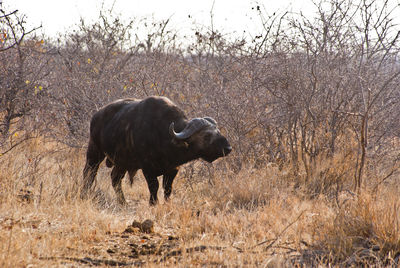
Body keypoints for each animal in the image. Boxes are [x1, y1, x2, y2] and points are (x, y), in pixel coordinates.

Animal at [81, 96, 231, 205]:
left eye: (218, 131)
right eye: (207, 135)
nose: (228, 148)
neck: (165, 138)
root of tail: (96, 115)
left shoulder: (173, 169)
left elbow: (168, 188)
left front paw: (167, 203)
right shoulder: (147, 169)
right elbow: (154, 186)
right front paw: (153, 203)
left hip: (121, 162)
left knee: (115, 179)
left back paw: (123, 202)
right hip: (94, 151)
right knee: (89, 173)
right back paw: (84, 194)